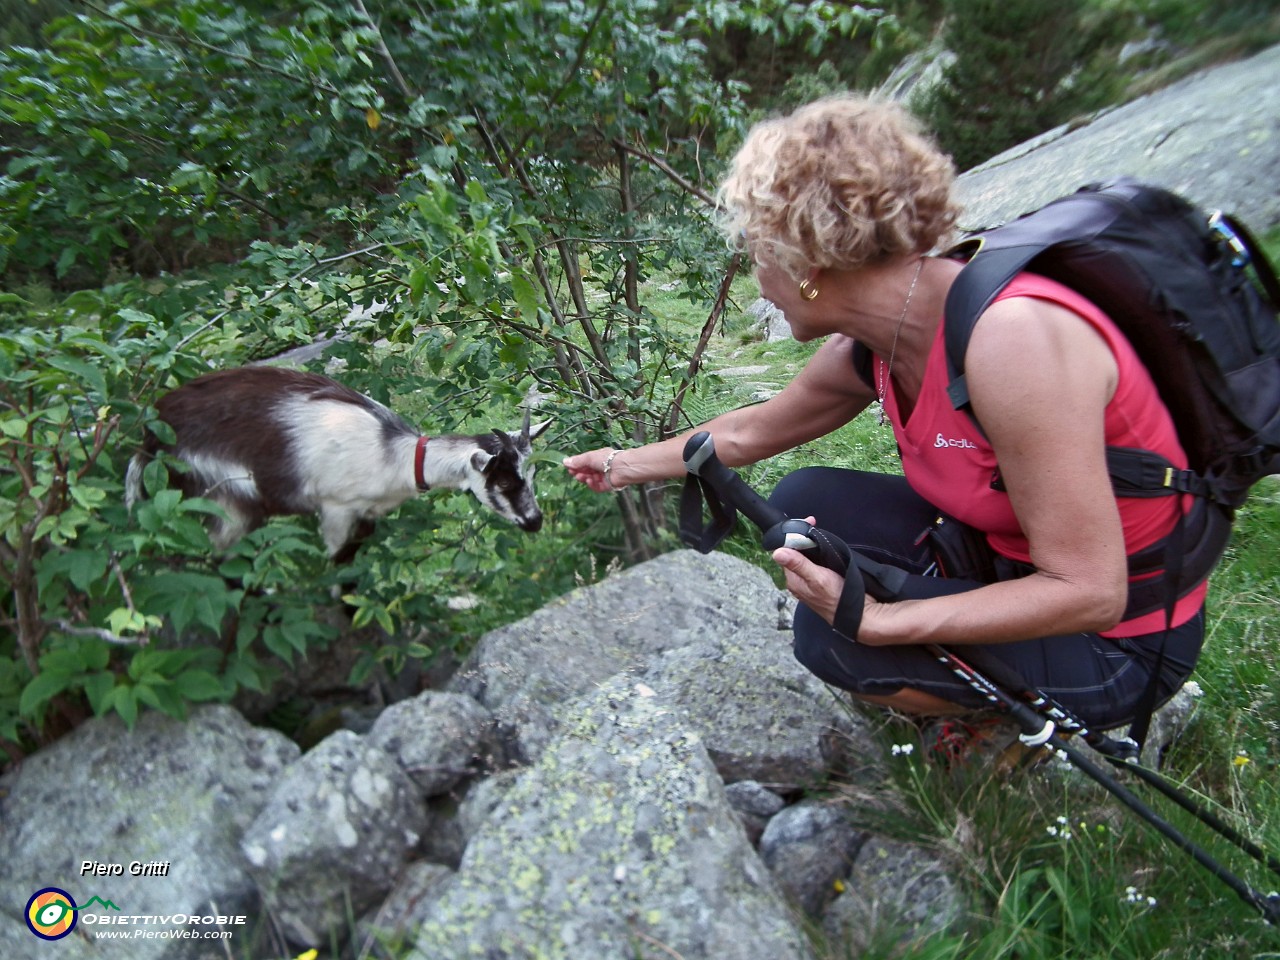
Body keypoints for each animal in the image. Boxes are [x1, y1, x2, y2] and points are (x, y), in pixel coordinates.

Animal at [122, 368, 552, 563]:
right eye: (504, 483)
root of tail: (150, 433)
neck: (392, 455)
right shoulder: (335, 510)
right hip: (223, 500)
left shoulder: (366, 517)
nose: (535, 522)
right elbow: (336, 571)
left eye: (532, 475)